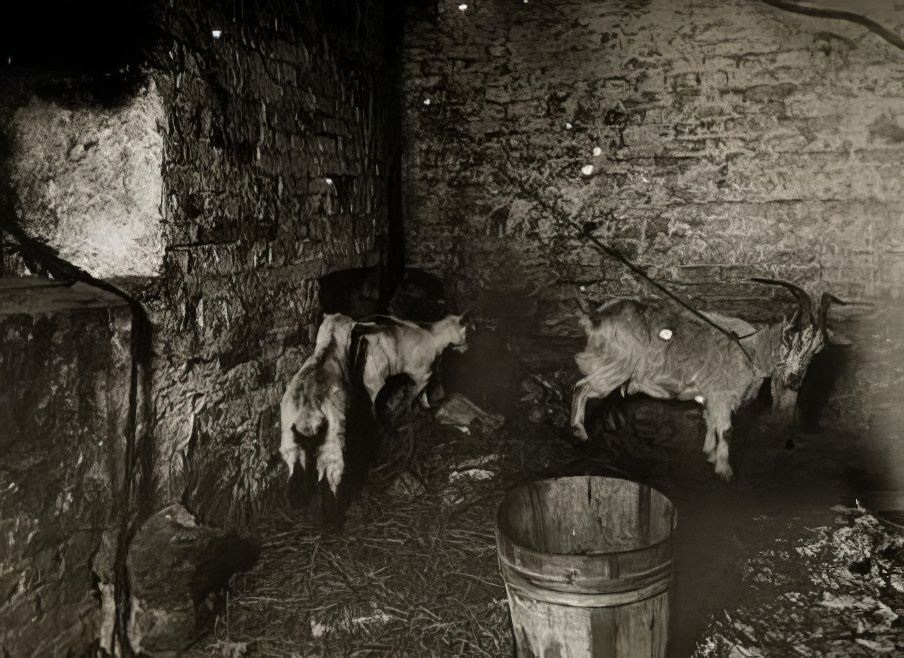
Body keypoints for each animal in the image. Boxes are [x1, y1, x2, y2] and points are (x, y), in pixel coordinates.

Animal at [576, 280, 844, 480]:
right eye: (790, 337)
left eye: (817, 350)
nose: (795, 381)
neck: (751, 348)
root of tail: (596, 316)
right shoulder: (722, 395)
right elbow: (725, 430)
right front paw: (725, 471)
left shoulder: (714, 399)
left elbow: (713, 424)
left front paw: (710, 456)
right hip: (615, 365)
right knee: (582, 387)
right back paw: (579, 432)